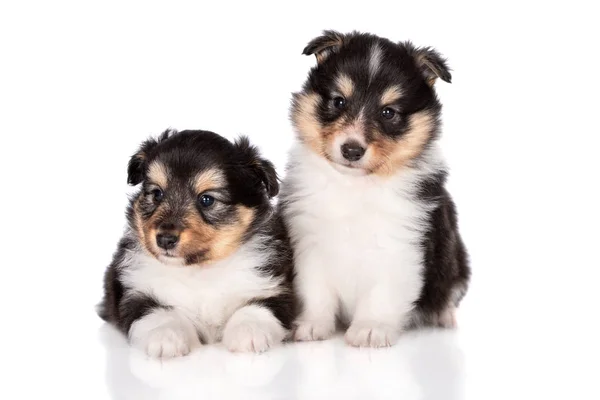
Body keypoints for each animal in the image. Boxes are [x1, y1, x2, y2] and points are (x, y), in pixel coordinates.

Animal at [97, 128, 296, 356]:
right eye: (157, 194)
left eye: (206, 200)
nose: (165, 239)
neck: (199, 270)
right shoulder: (134, 290)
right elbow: (154, 311)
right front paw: (165, 337)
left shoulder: (274, 287)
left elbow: (257, 307)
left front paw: (249, 332)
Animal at [278, 30, 472, 346]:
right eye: (339, 102)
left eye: (388, 112)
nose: (351, 150)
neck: (354, 185)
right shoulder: (309, 241)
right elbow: (315, 291)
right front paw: (311, 326)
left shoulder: (401, 244)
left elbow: (382, 295)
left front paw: (371, 329)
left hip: (456, 261)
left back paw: (445, 317)